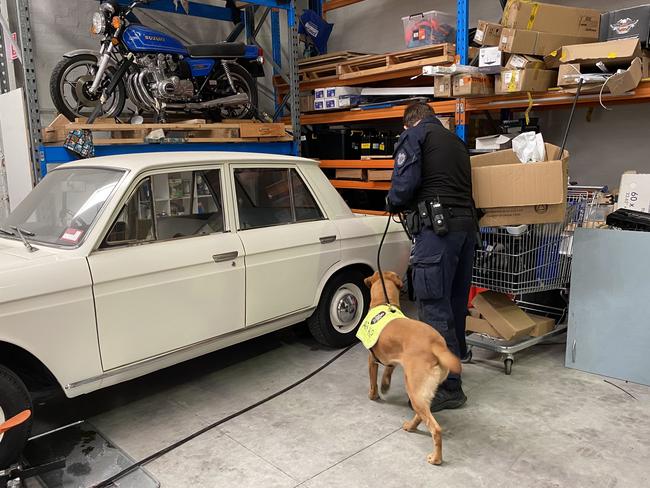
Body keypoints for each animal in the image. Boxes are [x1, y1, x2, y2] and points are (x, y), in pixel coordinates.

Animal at [360, 270, 460, 466]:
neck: (383, 301)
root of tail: (436, 343)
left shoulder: (371, 359)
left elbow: (373, 381)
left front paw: (373, 395)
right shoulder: (393, 359)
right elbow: (388, 372)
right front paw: (385, 385)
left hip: (414, 388)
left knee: (435, 429)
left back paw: (436, 458)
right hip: (421, 391)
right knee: (422, 414)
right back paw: (411, 426)